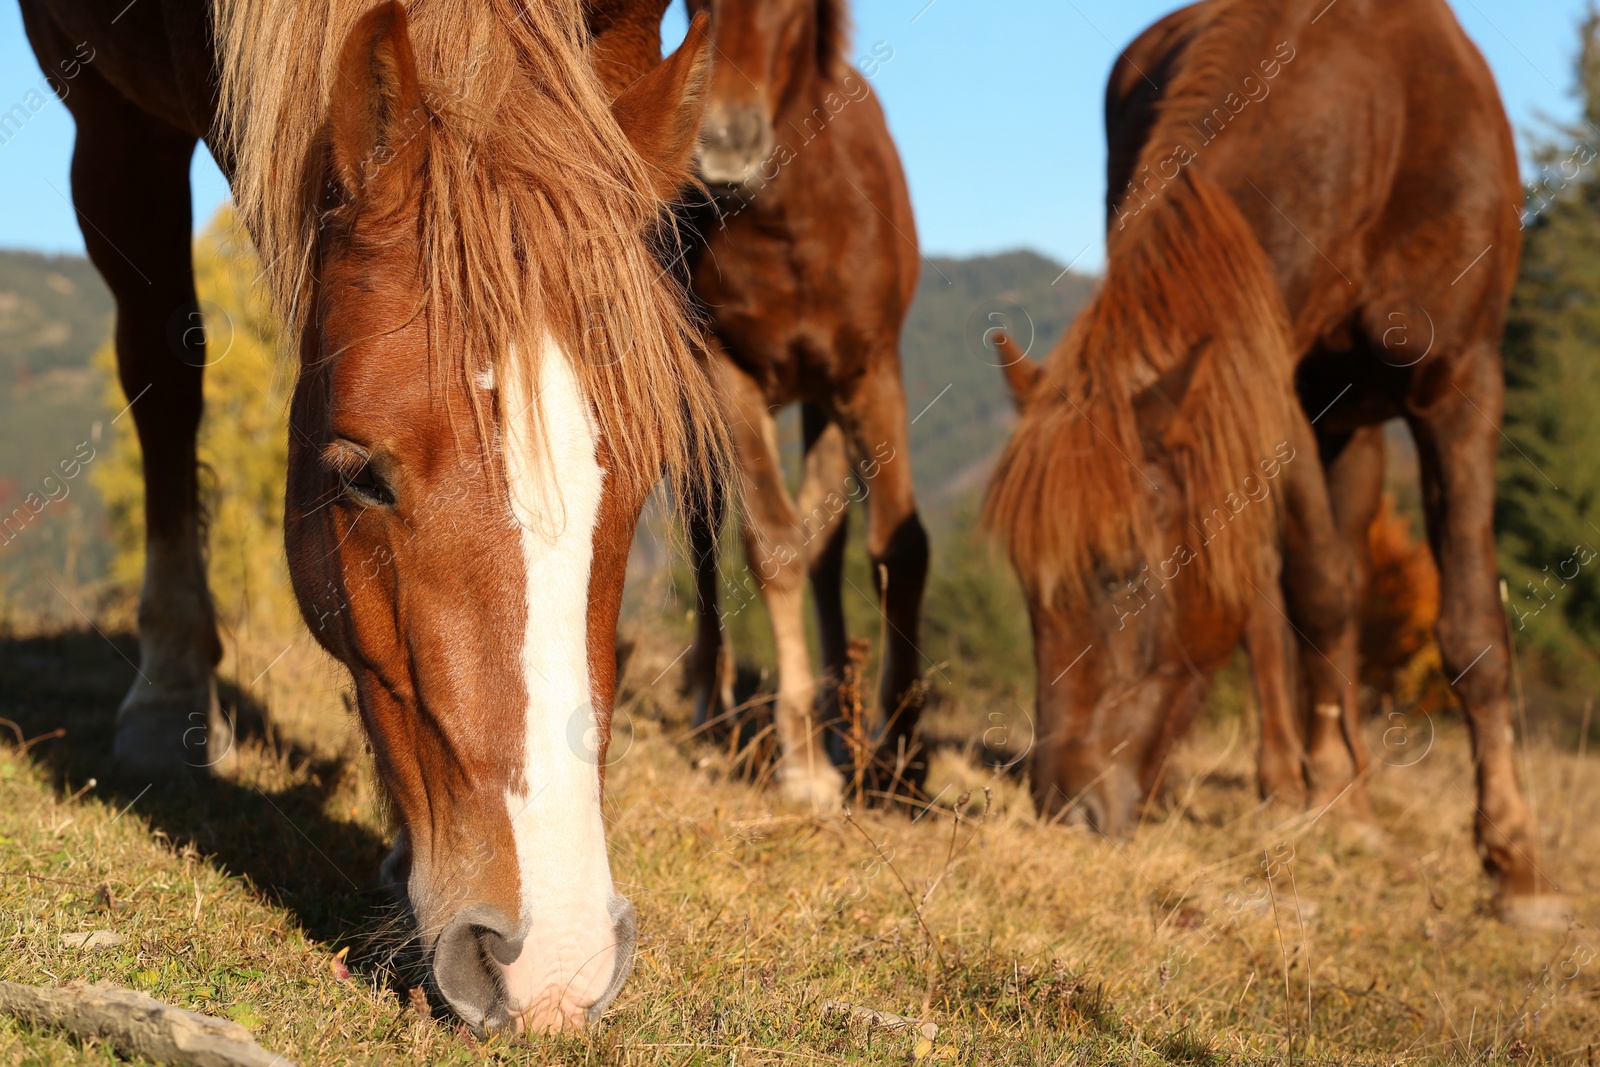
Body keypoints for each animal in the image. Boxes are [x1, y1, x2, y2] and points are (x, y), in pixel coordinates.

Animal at [21, 0, 723, 1023]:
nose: (554, 965)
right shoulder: (109, 101)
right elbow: (162, 364)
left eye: (646, 472)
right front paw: (168, 693)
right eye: (361, 476)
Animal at [678, 0, 934, 809]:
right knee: (705, 535)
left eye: (788, 10)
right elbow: (773, 543)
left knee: (827, 537)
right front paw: (802, 763)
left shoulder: (870, 372)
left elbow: (897, 548)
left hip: (823, 401)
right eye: (690, 8)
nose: (725, 145)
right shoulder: (729, 374)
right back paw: (711, 708)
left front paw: (900, 758)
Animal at [985, 0, 1561, 921]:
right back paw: (1300, 784)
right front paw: (1330, 791)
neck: (1382, 112)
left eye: (1125, 574)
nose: (1064, 807)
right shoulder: (1266, 385)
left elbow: (1470, 624)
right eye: (1030, 590)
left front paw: (1515, 861)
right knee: (1280, 596)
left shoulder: (1464, 385)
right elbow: (1315, 596)